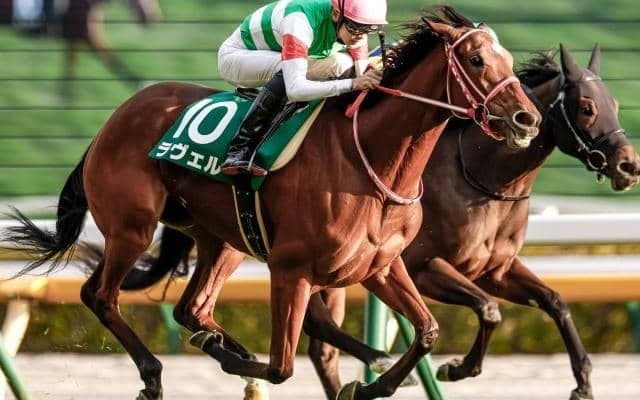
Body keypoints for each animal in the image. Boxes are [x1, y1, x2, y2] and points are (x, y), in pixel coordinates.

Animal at [115, 43, 640, 400]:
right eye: (587, 107)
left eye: (614, 103)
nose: (628, 165)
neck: (478, 173)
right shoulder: (424, 266)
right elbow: (488, 309)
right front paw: (454, 368)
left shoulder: (494, 267)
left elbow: (555, 301)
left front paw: (583, 382)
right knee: (317, 329)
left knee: (318, 342)